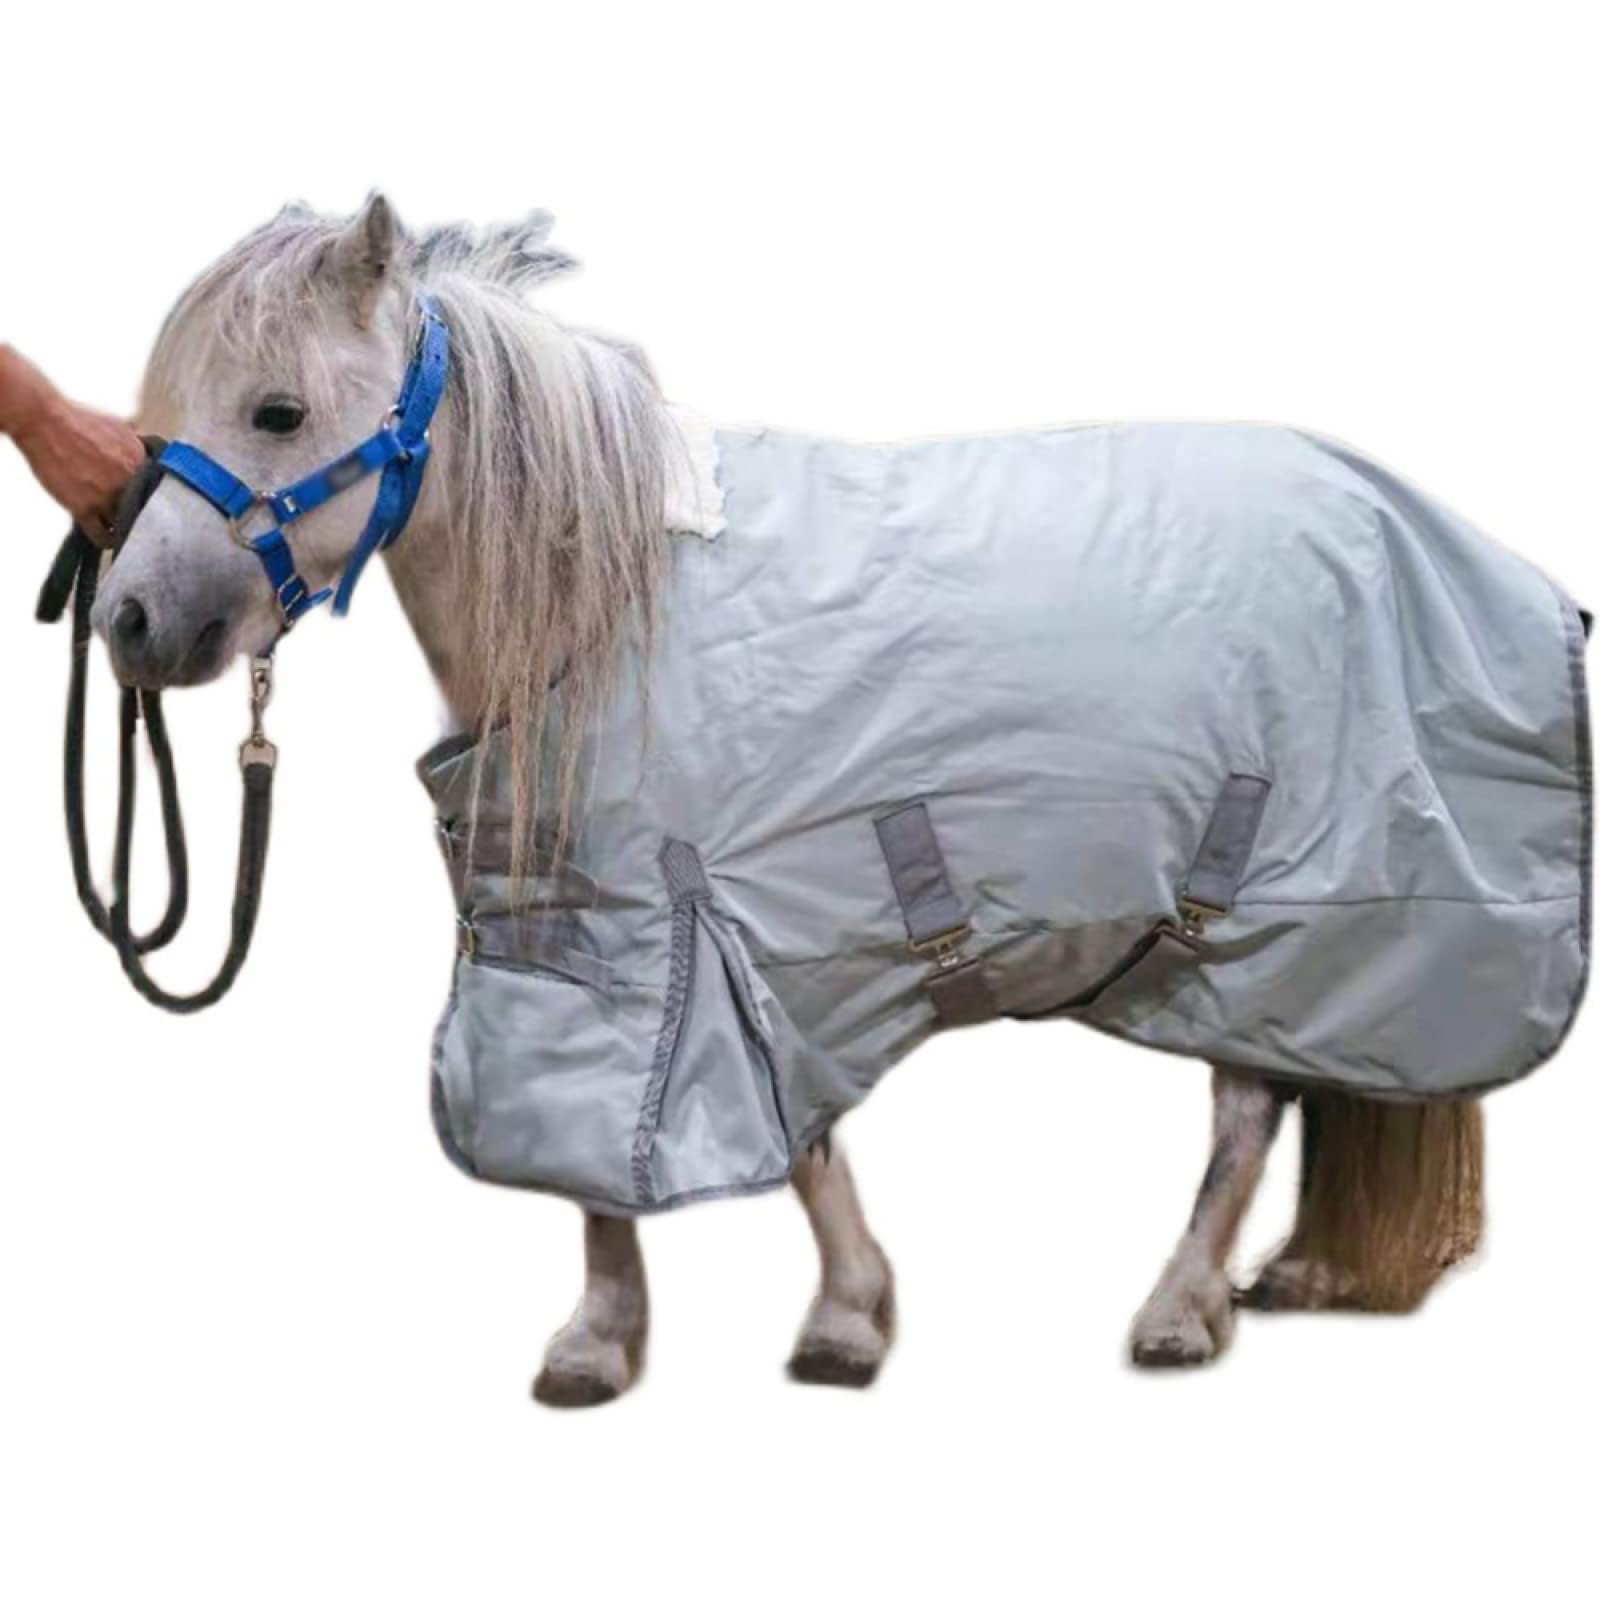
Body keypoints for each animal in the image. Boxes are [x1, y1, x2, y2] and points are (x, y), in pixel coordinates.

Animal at [93, 193, 1572, 1405]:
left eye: (278, 412)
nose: (128, 619)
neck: (611, 599)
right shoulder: (599, 931)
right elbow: (614, 1138)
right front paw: (614, 1338)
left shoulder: (726, 927)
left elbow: (750, 1139)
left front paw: (832, 1323)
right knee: (1302, 1083)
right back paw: (1280, 1280)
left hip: (1290, 920)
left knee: (1247, 1111)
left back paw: (1177, 1310)